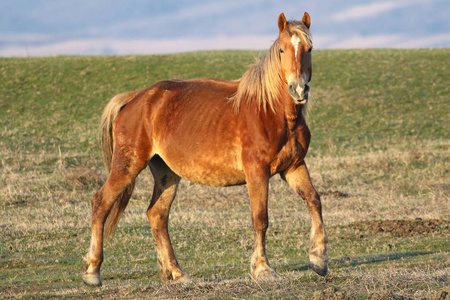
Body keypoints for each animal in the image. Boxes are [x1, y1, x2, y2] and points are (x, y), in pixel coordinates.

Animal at [81, 12, 326, 288]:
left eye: (309, 49)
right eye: (283, 49)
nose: (299, 89)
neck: (271, 112)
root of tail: (135, 98)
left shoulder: (294, 167)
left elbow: (314, 200)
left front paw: (318, 259)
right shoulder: (257, 172)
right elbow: (260, 218)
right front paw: (263, 269)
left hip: (166, 174)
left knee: (157, 215)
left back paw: (176, 273)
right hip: (128, 164)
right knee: (101, 202)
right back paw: (92, 271)